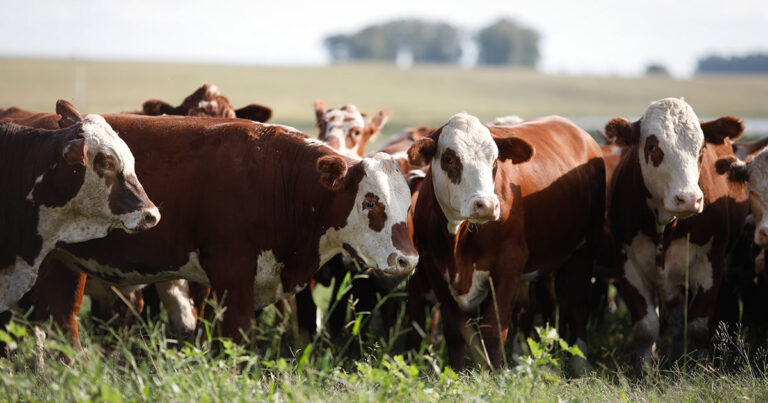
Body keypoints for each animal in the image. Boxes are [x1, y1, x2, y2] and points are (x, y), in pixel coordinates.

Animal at [404, 113, 608, 370]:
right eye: (449, 158)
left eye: (494, 161)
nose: (487, 205)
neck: (457, 241)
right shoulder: (435, 269)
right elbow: (456, 332)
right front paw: (457, 373)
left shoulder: (508, 265)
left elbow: (493, 331)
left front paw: (493, 373)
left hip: (585, 248)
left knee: (577, 305)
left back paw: (579, 363)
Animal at [604, 98, 748, 370]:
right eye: (652, 146)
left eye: (701, 148)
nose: (689, 199)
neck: (665, 227)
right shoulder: (627, 264)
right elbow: (646, 327)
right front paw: (645, 371)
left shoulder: (711, 263)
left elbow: (698, 325)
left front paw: (703, 369)